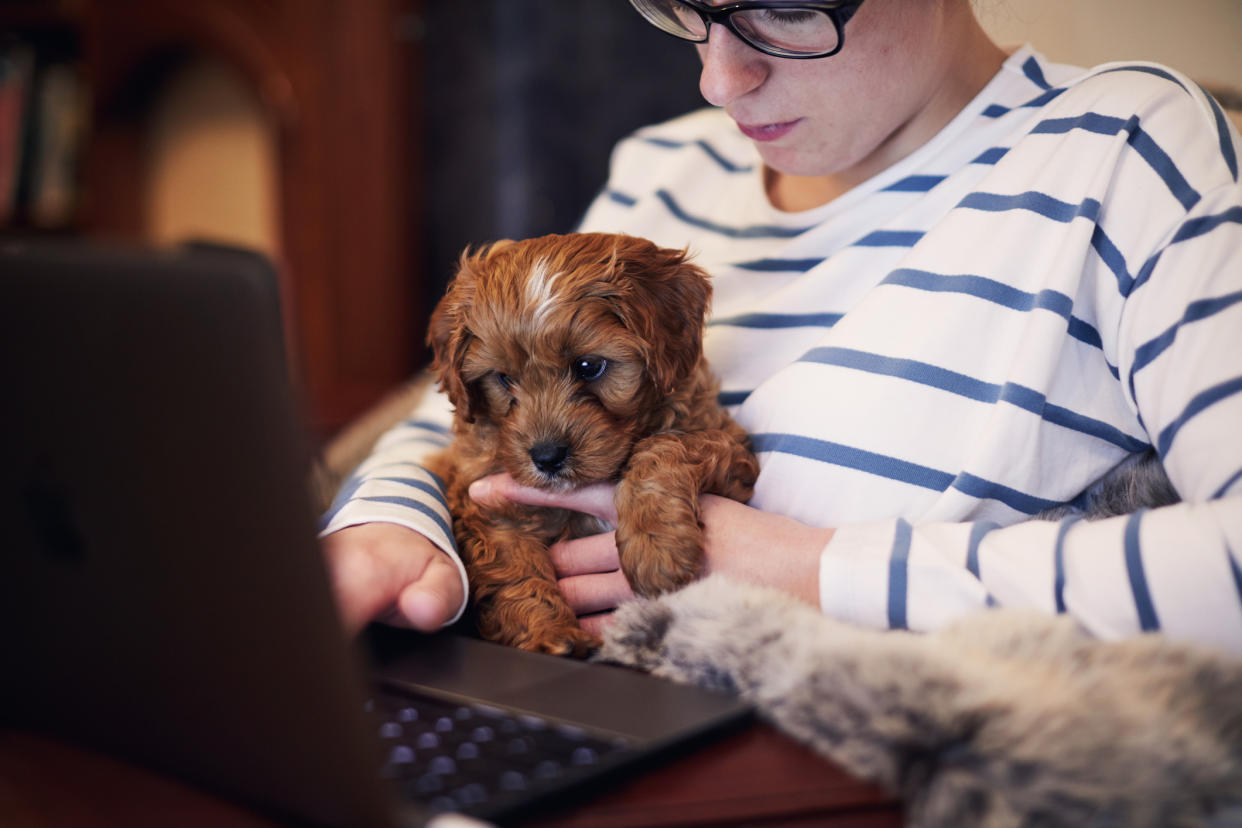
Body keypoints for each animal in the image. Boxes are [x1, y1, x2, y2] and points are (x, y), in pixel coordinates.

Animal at [424, 232, 755, 655]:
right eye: (503, 378)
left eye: (589, 366)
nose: (547, 457)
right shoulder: (485, 506)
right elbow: (514, 573)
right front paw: (550, 634)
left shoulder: (732, 451)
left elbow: (665, 447)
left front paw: (657, 546)